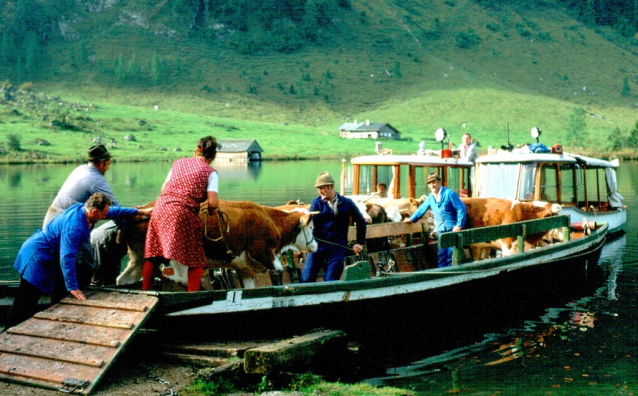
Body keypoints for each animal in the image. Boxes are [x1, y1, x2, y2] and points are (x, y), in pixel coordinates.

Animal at [116, 201, 318, 288]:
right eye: (311, 227)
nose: (316, 245)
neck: (270, 219)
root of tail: (143, 210)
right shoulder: (261, 252)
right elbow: (278, 270)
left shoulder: (244, 266)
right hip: (176, 253)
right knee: (182, 279)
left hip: (138, 256)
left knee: (125, 279)